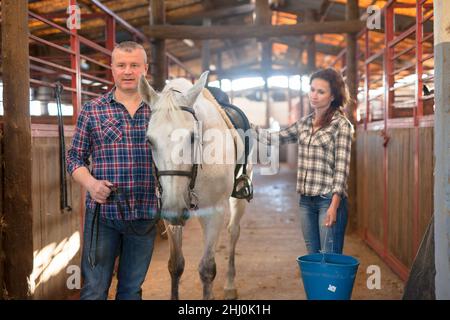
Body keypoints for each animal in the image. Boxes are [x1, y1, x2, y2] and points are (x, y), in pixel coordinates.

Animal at [139, 71, 251, 298]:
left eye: (193, 137)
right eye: (149, 141)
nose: (175, 207)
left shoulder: (214, 211)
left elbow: (207, 269)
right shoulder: (170, 214)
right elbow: (175, 265)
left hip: (238, 198)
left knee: (233, 231)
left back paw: (230, 285)